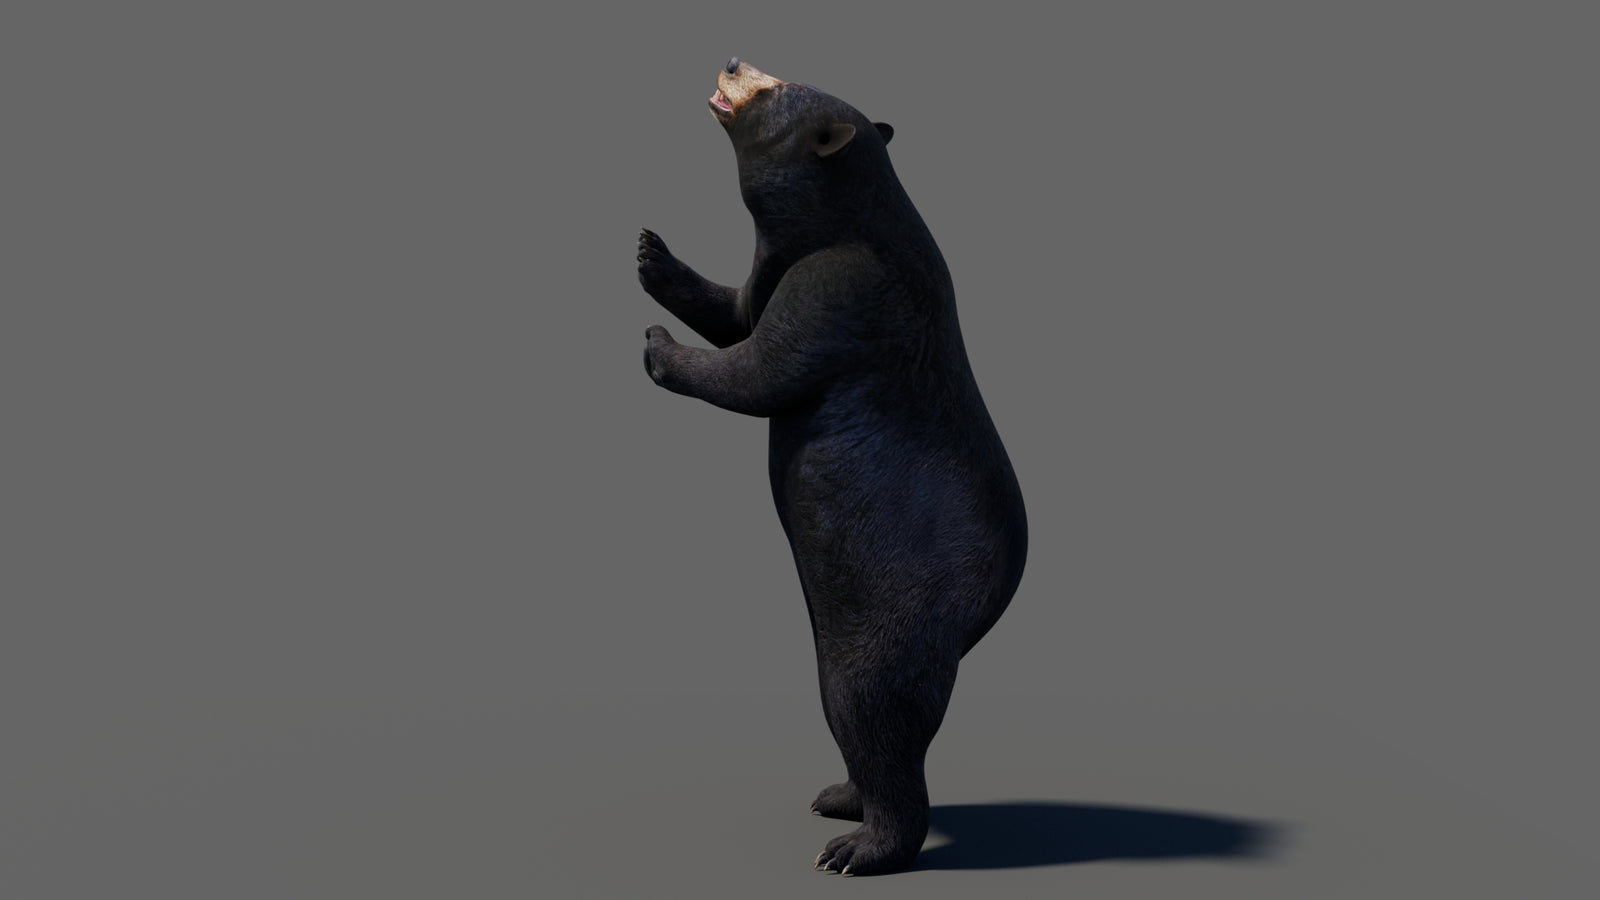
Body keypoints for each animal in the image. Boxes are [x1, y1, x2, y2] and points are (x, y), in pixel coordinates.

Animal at [638, 58, 1027, 875]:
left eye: (774, 87)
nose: (732, 60)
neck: (844, 217)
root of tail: (983, 612)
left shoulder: (842, 283)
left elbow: (761, 369)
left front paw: (657, 345)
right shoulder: (783, 262)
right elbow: (740, 309)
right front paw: (651, 253)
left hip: (896, 611)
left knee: (873, 708)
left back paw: (858, 848)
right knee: (854, 715)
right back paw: (839, 796)